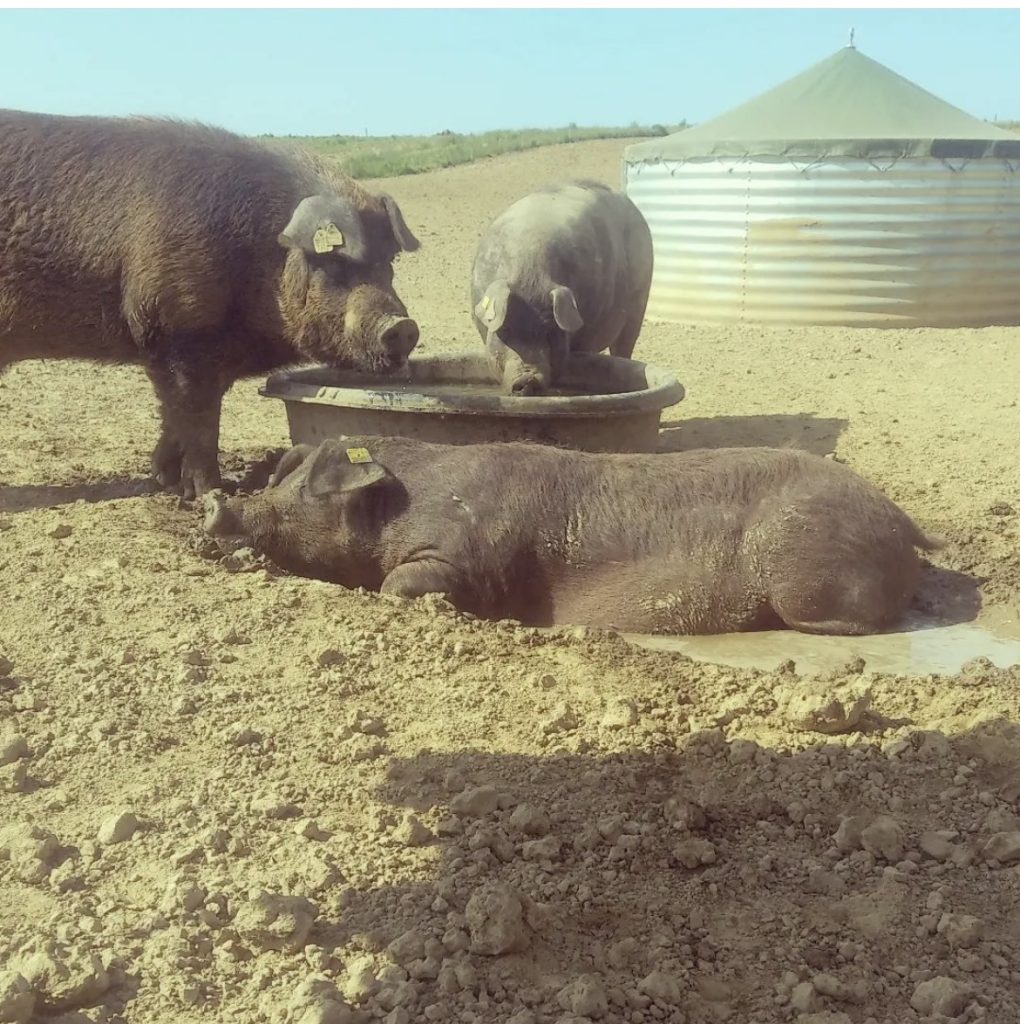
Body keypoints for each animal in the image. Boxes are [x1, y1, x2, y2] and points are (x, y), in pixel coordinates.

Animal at [0, 110, 421, 497]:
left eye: (388, 261)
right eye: (333, 263)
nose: (402, 326)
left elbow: (176, 415)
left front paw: (165, 481)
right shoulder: (177, 329)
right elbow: (199, 418)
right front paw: (210, 493)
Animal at [200, 436, 942, 634]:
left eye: (306, 495)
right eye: (280, 482)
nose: (216, 509)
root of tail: (902, 518)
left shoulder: (466, 557)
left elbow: (400, 584)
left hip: (805, 570)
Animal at [471, 182, 655, 393]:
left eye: (550, 332)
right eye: (506, 331)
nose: (527, 378)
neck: (530, 275)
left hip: (639, 304)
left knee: (624, 346)